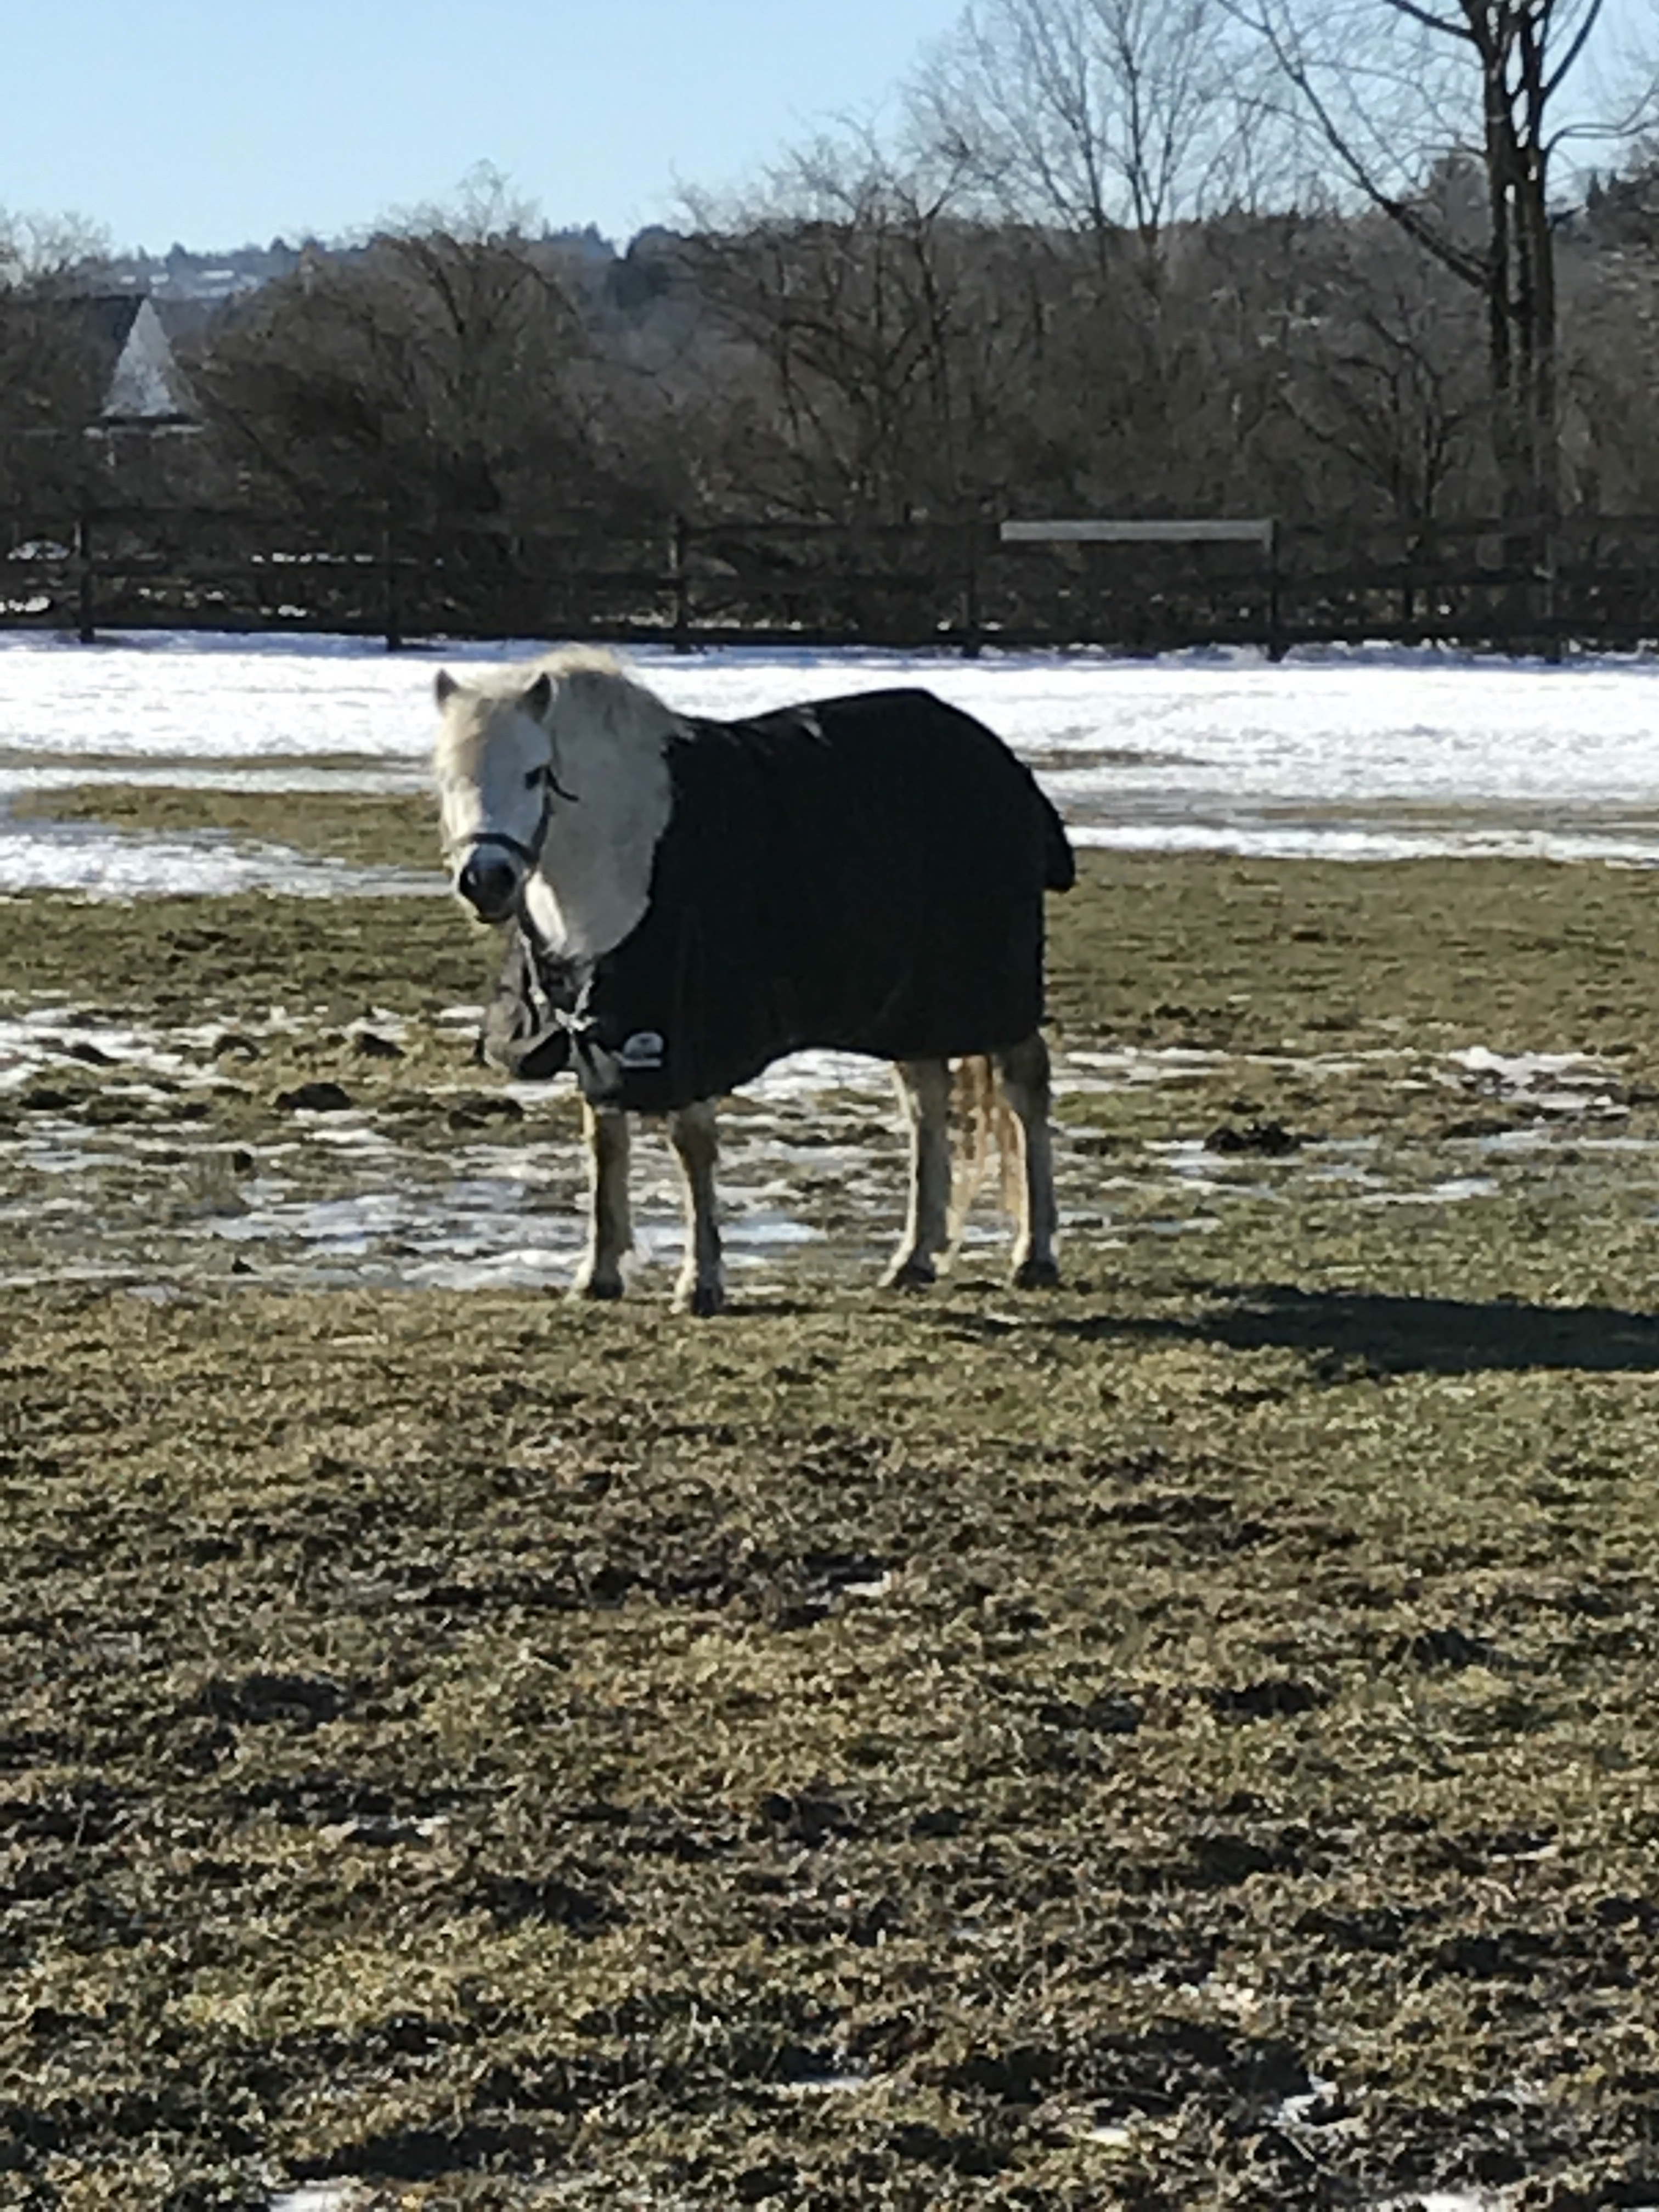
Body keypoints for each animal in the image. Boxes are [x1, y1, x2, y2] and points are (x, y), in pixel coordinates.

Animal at [431, 646, 1079, 1309]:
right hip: (910, 1005)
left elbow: (691, 1146)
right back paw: (914, 1259)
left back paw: (1035, 1255)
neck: (631, 851)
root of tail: (998, 761)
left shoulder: (685, 1030)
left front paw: (701, 1283)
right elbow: (605, 1144)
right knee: (925, 1100)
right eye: (447, 777)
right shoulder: (600, 1028)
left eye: (536, 773)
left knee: (1025, 1088)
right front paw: (600, 1274)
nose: (487, 881)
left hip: (993, 992)